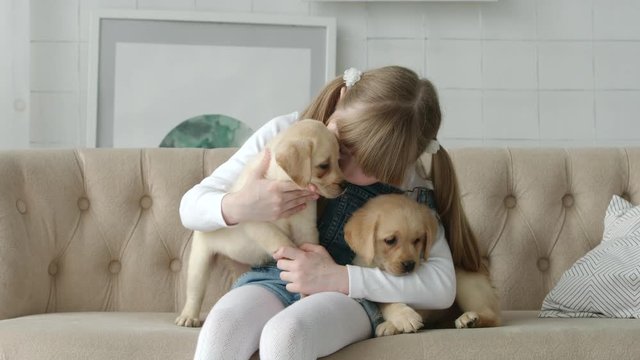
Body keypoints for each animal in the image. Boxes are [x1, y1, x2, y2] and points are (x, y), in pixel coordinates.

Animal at [175, 119, 344, 328]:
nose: (345, 186)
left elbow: (307, 250)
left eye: (339, 160)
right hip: (199, 262)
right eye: (324, 165)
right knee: (195, 292)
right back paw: (188, 316)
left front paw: (307, 289)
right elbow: (283, 242)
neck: (281, 180)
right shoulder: (257, 221)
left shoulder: (306, 228)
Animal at [344, 194, 500, 338]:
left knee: (494, 317)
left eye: (417, 240)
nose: (409, 265)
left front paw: (400, 320)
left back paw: (470, 319)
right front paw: (401, 318)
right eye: (390, 240)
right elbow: (384, 301)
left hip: (463, 282)